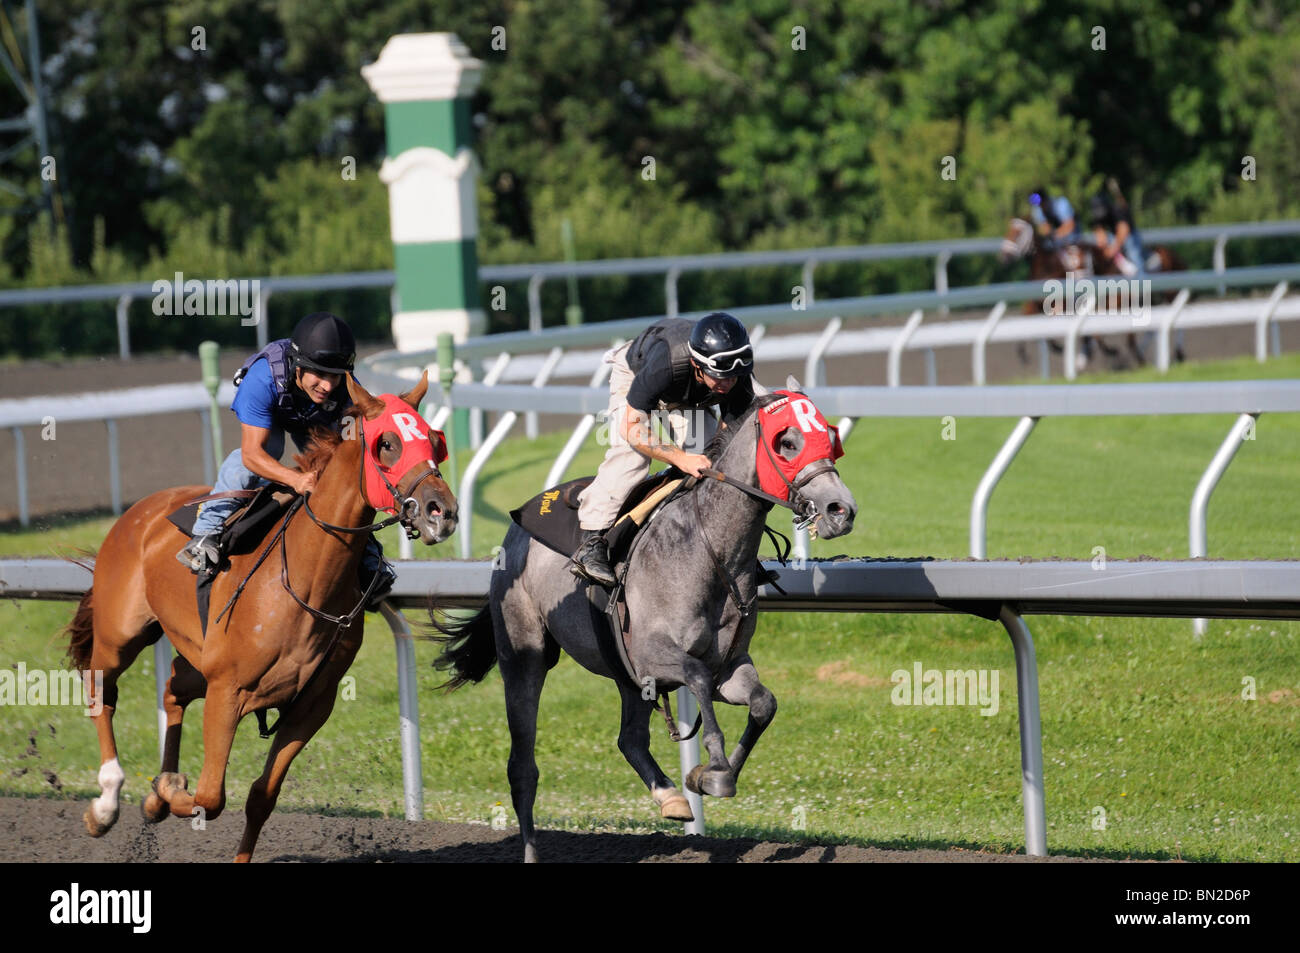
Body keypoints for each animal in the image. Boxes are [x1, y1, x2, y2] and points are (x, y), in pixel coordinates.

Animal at [62, 371, 457, 863]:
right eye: (387, 443)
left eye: (435, 441)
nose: (443, 512)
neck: (306, 580)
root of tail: (138, 511)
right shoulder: (227, 691)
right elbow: (210, 797)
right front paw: (167, 792)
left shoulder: (311, 705)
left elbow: (261, 796)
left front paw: (164, 794)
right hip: (121, 635)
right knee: (102, 690)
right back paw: (106, 804)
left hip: (196, 658)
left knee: (172, 688)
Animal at [431, 382, 857, 863]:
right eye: (787, 442)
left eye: (831, 440)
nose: (841, 509)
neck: (710, 551)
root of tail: (515, 528)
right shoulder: (655, 656)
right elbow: (697, 679)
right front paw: (714, 768)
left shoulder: (728, 666)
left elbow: (764, 703)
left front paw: (707, 777)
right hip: (525, 656)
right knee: (523, 767)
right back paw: (532, 849)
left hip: (623, 672)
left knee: (630, 738)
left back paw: (670, 797)